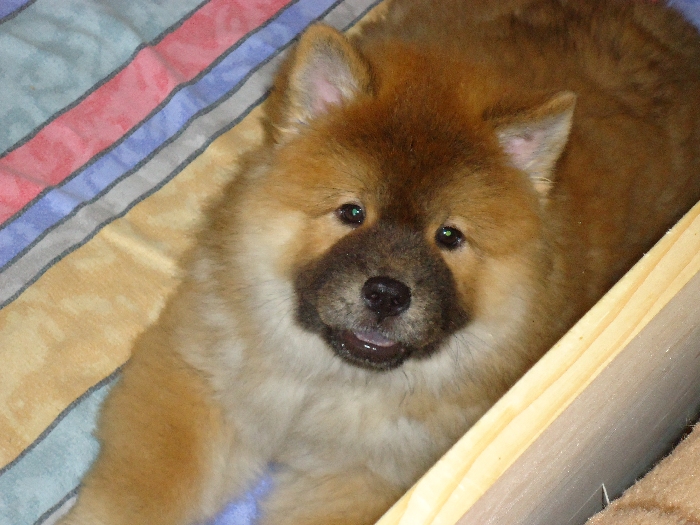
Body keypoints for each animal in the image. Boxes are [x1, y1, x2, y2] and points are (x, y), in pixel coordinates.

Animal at [60, 1, 700, 524]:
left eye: (448, 236)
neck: (323, 386)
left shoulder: (364, 479)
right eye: (352, 212)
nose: (388, 293)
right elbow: (141, 494)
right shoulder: (202, 380)